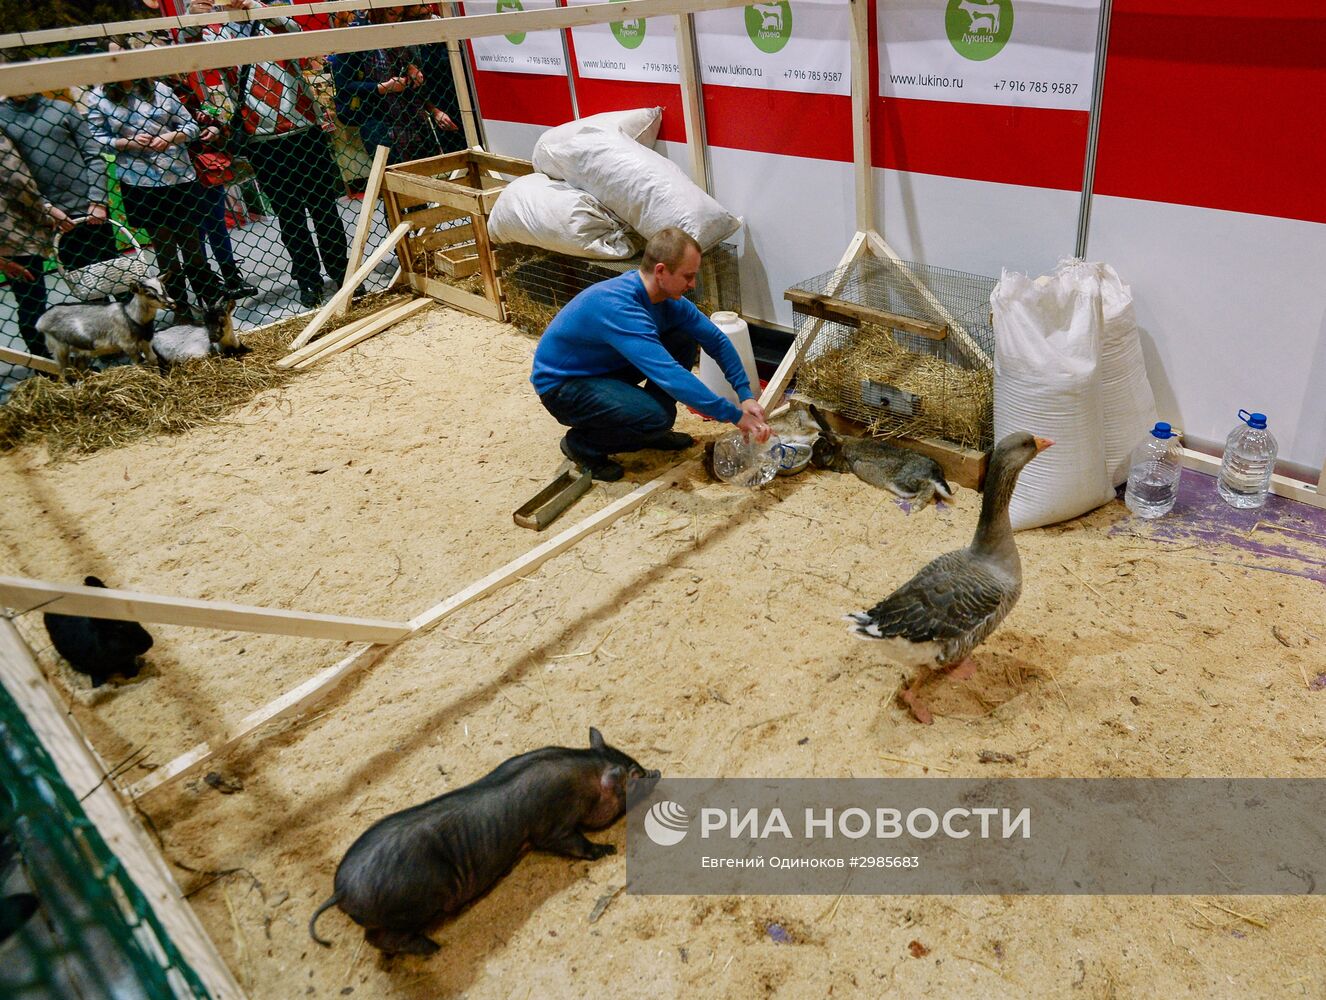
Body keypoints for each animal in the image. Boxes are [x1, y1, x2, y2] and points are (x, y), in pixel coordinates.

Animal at [36, 277, 173, 376]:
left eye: (164, 287)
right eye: (149, 293)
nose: (171, 303)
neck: (130, 315)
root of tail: (40, 321)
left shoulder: (146, 342)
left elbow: (153, 359)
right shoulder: (128, 345)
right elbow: (141, 363)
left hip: (80, 349)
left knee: (80, 367)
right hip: (59, 347)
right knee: (66, 372)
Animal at [306, 726, 657, 954]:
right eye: (635, 776)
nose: (656, 771)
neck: (585, 774)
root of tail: (340, 890)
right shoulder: (553, 827)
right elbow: (576, 844)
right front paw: (608, 849)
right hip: (407, 909)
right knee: (378, 939)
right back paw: (433, 947)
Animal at [806, 400, 954, 506]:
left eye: (824, 450)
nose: (813, 460)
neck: (839, 447)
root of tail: (933, 470)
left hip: (901, 483)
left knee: (928, 487)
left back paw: (917, 506)